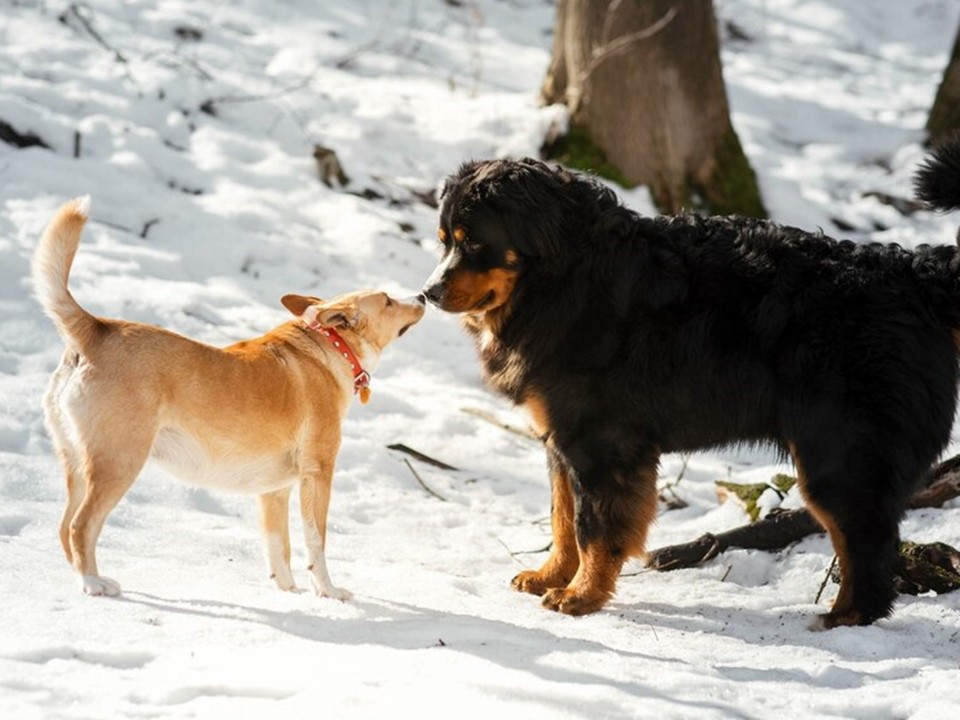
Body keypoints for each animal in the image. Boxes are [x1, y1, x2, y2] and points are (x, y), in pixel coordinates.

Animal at [33, 197, 424, 596]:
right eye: (388, 301)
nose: (424, 295)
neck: (331, 346)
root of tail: (96, 330)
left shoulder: (274, 491)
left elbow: (278, 548)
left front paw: (290, 593)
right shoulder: (317, 474)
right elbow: (316, 543)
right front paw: (328, 592)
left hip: (77, 463)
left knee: (64, 527)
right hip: (119, 461)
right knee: (81, 526)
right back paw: (93, 582)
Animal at [424, 138, 960, 628]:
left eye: (474, 242)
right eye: (444, 240)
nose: (427, 292)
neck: (563, 278)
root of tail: (915, 275)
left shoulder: (600, 443)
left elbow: (593, 527)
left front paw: (581, 596)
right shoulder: (561, 441)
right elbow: (562, 518)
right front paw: (552, 576)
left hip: (840, 457)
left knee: (869, 543)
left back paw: (846, 617)